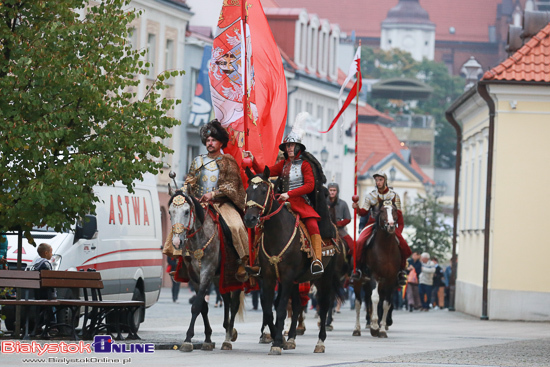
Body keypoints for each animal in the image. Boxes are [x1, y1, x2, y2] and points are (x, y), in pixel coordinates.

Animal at [168, 183, 244, 352]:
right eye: (170, 212)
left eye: (186, 211)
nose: (176, 242)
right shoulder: (195, 277)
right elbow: (203, 306)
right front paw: (208, 339)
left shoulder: (207, 272)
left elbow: (196, 306)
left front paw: (188, 340)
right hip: (220, 276)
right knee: (226, 299)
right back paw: (227, 330)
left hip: (236, 276)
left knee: (234, 303)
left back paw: (228, 338)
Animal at [244, 167, 342, 356]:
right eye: (247, 191)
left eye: (263, 190)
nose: (249, 219)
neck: (277, 232)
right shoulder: (270, 277)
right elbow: (269, 310)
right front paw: (279, 338)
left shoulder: (287, 277)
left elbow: (281, 308)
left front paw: (276, 343)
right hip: (298, 281)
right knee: (297, 305)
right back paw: (290, 339)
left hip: (324, 277)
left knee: (324, 305)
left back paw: (320, 342)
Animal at [354, 201, 402, 340]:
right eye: (382, 211)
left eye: (395, 210)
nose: (391, 225)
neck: (386, 249)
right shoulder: (374, 276)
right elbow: (375, 298)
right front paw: (374, 326)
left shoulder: (391, 280)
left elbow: (386, 303)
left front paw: (382, 330)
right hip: (358, 282)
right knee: (358, 303)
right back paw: (357, 329)